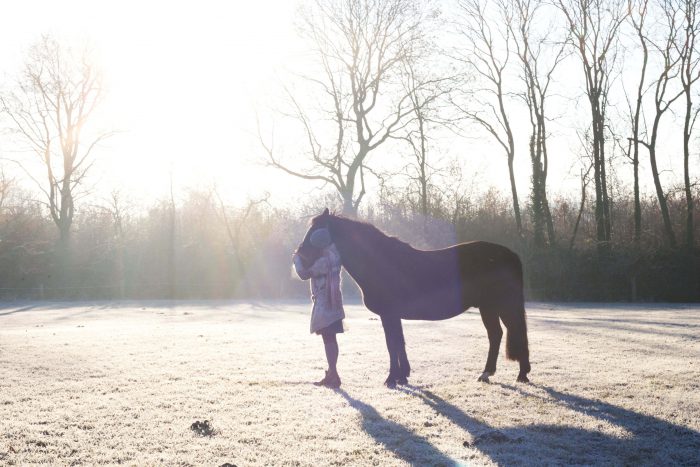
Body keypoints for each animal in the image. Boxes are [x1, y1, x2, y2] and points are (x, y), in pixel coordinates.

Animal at [296, 209, 532, 388]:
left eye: (315, 233)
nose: (297, 258)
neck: (381, 262)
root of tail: (511, 254)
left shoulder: (389, 315)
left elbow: (392, 344)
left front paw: (391, 379)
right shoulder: (394, 316)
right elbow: (400, 343)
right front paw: (402, 376)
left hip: (502, 305)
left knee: (514, 331)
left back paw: (521, 374)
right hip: (488, 307)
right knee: (497, 334)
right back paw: (487, 373)